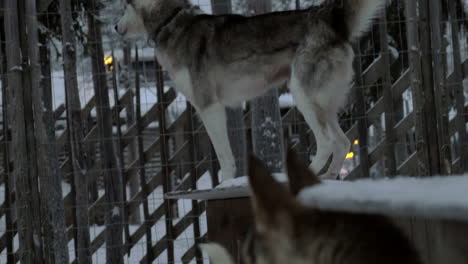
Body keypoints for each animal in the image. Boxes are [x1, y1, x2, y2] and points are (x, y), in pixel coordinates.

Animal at [117, 0, 388, 179]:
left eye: (124, 6)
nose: (115, 28)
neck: (171, 21)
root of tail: (325, 16)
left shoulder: (209, 108)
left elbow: (224, 157)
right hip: (324, 105)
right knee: (343, 142)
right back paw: (328, 176)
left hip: (304, 98)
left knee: (327, 144)